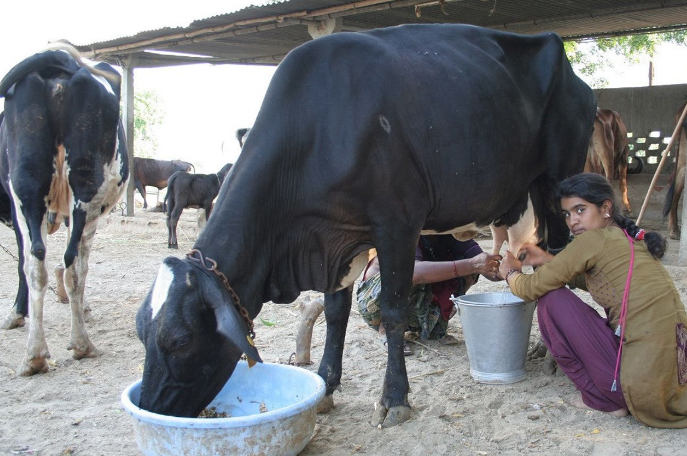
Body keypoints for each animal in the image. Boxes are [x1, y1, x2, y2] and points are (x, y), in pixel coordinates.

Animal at [0, 45, 128, 376]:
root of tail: (58, 57)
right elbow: (82, 266)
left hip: (28, 189)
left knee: (36, 262)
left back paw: (35, 356)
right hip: (84, 188)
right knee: (66, 264)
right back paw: (79, 344)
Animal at [135, 24, 595, 427]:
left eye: (180, 341)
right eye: (142, 333)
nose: (150, 407)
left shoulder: (397, 224)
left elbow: (392, 310)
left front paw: (395, 399)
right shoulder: (336, 239)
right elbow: (335, 312)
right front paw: (326, 385)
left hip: (557, 181)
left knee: (557, 258)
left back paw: (550, 355)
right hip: (521, 202)